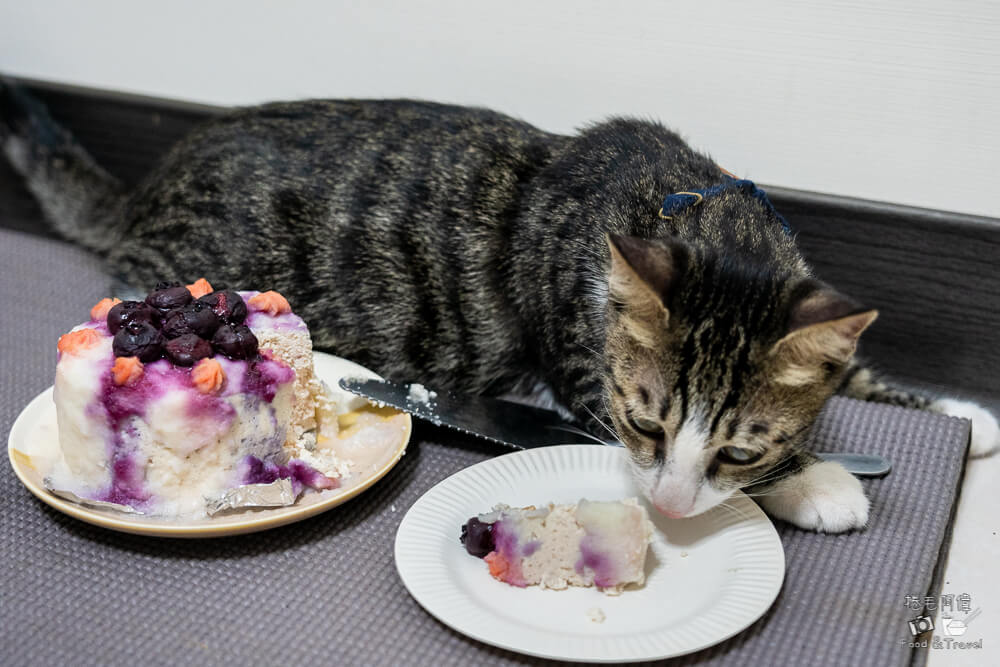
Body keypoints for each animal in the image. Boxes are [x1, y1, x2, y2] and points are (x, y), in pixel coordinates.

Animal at [3, 82, 996, 532]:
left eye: (745, 441)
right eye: (644, 419)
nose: (672, 508)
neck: (679, 202)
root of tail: (143, 195)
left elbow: (864, 370)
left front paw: (968, 415)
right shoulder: (589, 387)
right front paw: (818, 480)